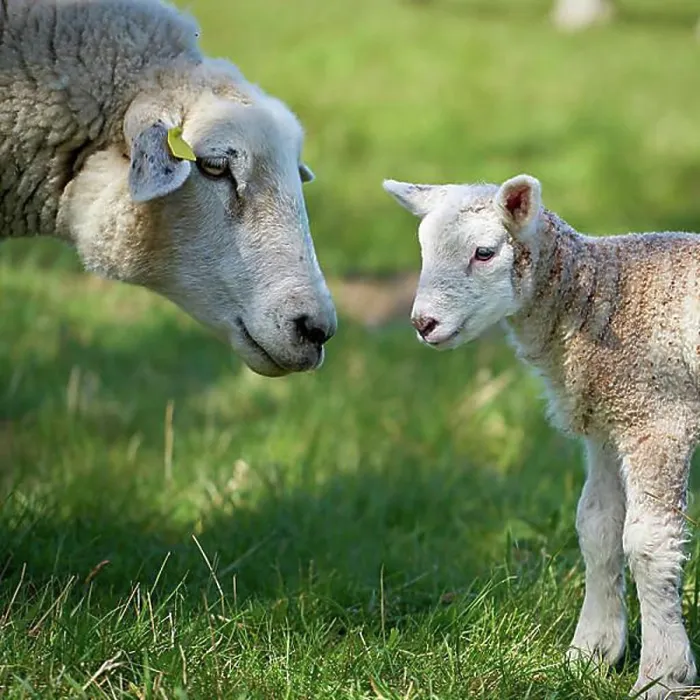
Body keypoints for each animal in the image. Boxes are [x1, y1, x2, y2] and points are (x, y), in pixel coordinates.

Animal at [383, 173, 700, 698]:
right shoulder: (606, 423)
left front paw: (663, 674)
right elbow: (597, 528)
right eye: (423, 249)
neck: (605, 294)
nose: (423, 324)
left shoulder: (658, 417)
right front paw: (590, 654)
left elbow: (648, 543)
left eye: (484, 252)